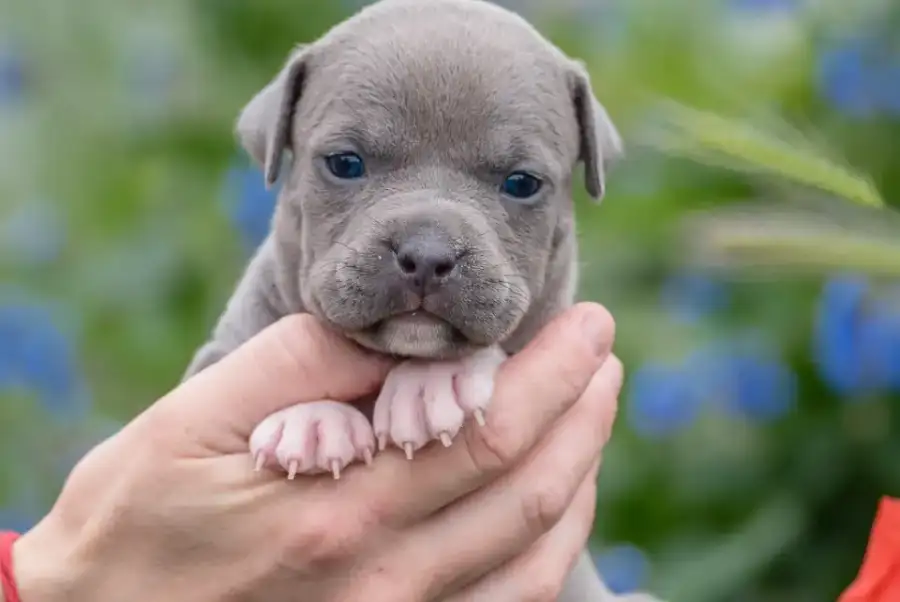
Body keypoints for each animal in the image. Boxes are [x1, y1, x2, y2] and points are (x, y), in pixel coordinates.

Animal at [183, 0, 636, 596]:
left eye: (521, 183)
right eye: (345, 163)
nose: (426, 253)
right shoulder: (211, 361)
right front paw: (311, 419)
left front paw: (432, 382)